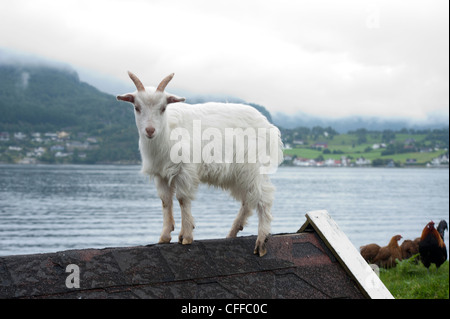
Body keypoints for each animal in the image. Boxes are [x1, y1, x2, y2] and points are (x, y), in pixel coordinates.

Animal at [118, 72, 284, 258]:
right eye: (137, 107)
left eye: (163, 108)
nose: (150, 130)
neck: (167, 133)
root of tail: (269, 127)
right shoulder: (160, 174)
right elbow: (165, 201)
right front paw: (165, 236)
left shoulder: (185, 170)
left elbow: (182, 199)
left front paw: (186, 236)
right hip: (237, 175)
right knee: (248, 200)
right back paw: (232, 233)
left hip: (252, 167)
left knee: (264, 197)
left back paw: (261, 241)